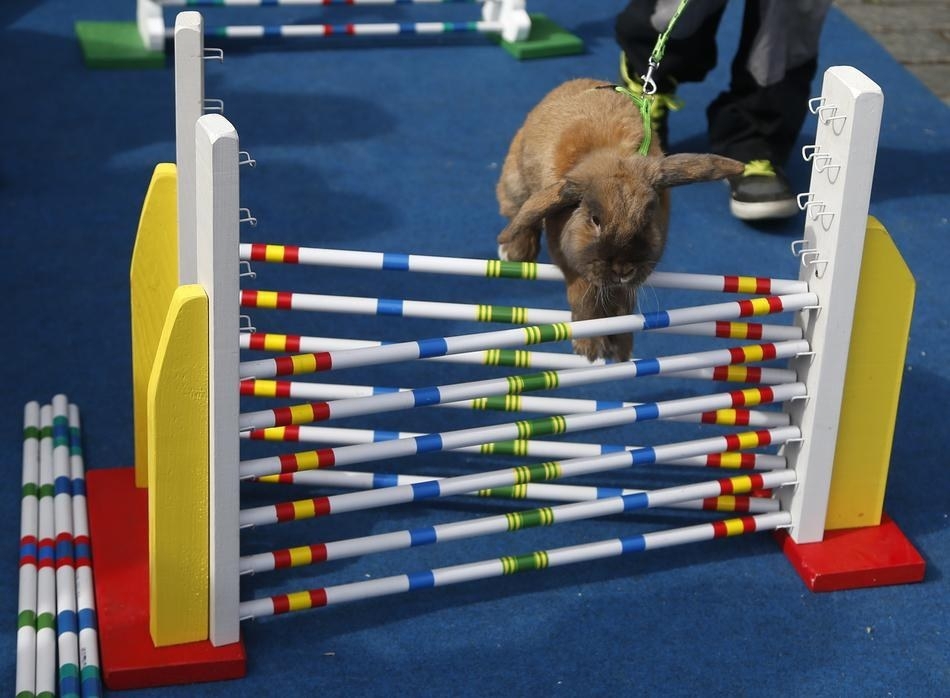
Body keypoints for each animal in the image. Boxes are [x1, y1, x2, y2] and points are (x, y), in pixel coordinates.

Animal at [498, 77, 744, 358]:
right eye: (595, 220)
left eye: (647, 219)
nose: (622, 269)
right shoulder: (571, 263)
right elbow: (584, 296)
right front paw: (590, 347)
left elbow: (622, 306)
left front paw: (620, 348)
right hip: (516, 182)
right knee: (518, 214)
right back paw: (514, 252)